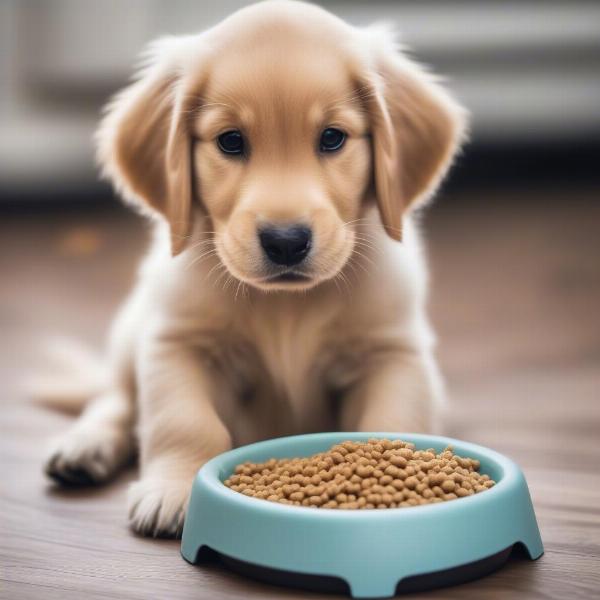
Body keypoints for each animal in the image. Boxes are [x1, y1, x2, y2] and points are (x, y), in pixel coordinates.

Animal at [44, 0, 466, 536]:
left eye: (332, 138)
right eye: (230, 141)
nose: (286, 242)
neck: (286, 307)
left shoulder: (394, 352)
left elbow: (392, 421)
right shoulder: (175, 342)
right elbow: (185, 422)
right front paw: (174, 490)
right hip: (130, 330)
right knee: (114, 397)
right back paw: (84, 447)